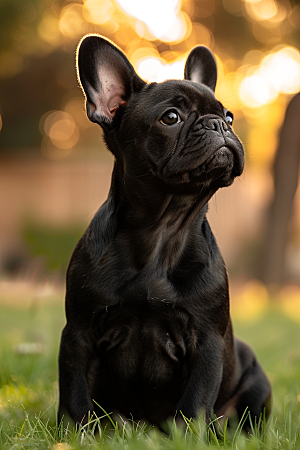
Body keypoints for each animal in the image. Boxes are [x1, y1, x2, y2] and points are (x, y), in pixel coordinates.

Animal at [58, 35, 272, 428]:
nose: (218, 125)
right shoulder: (78, 334)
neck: (163, 228)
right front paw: (74, 433)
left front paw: (191, 435)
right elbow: (76, 396)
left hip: (254, 379)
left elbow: (195, 403)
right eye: (170, 118)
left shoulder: (206, 341)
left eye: (229, 116)